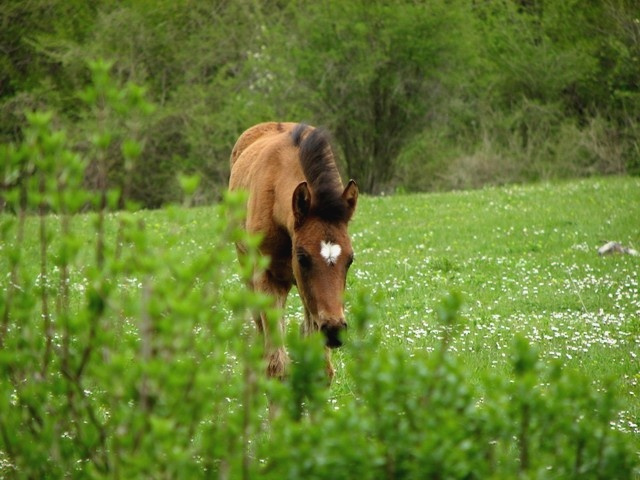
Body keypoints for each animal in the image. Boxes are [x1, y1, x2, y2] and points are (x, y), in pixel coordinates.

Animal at [229, 122, 358, 381]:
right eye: (303, 258)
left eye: (350, 259)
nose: (334, 330)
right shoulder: (267, 278)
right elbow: (276, 365)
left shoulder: (309, 296)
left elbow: (321, 368)